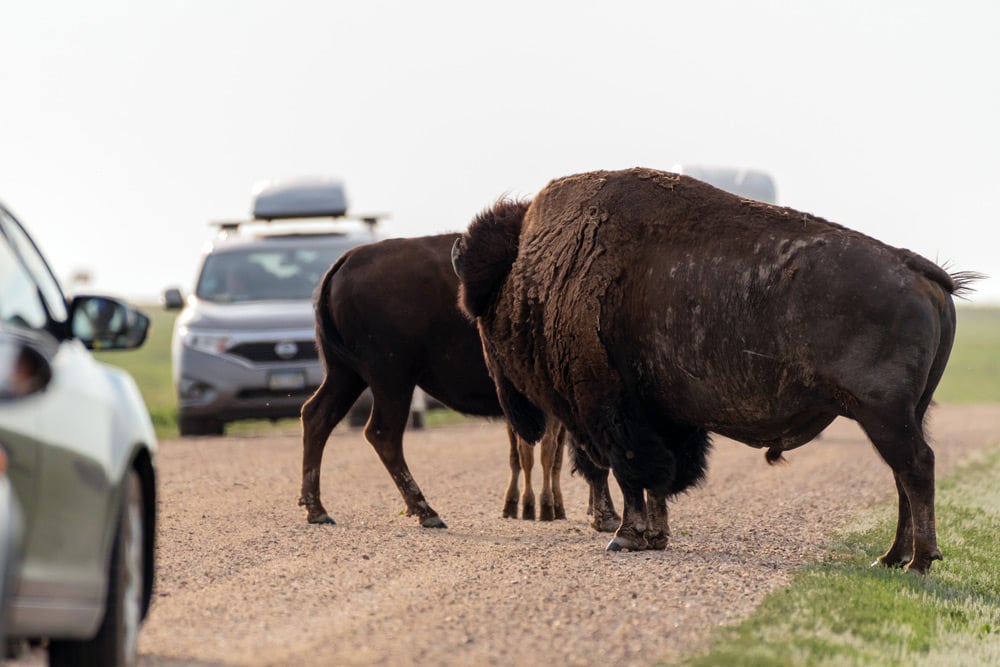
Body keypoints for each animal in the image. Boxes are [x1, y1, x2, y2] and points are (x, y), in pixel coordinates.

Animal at [292, 235, 616, 532]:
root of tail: (348, 259)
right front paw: (607, 518)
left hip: (347, 375)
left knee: (317, 417)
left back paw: (317, 510)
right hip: (391, 379)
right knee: (383, 433)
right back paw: (427, 512)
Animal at [454, 167, 976, 576]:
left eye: (479, 310)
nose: (500, 390)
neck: (535, 266)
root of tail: (915, 269)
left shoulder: (611, 412)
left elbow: (633, 473)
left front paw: (625, 536)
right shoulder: (661, 419)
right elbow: (659, 477)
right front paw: (655, 536)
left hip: (883, 414)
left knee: (916, 468)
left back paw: (918, 561)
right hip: (904, 414)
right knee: (904, 475)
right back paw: (891, 557)